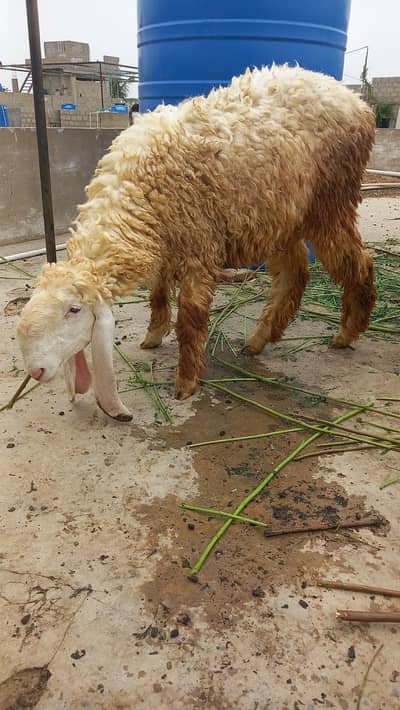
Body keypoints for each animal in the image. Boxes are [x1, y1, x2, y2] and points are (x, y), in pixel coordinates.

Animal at [17, 64, 376, 422]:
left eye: (74, 310)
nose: (35, 371)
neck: (136, 189)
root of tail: (356, 101)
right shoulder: (166, 243)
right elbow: (157, 293)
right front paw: (154, 334)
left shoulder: (198, 246)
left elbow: (190, 320)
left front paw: (186, 382)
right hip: (280, 217)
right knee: (295, 274)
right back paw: (260, 339)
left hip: (331, 201)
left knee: (358, 262)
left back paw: (346, 333)